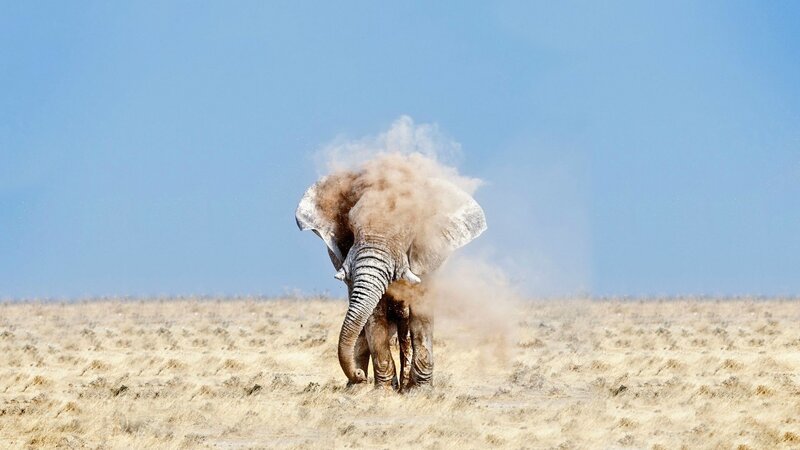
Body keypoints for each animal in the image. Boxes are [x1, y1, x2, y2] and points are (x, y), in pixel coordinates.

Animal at [295, 153, 486, 389]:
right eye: (351, 226)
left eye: (408, 232)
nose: (358, 374)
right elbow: (373, 315)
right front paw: (384, 390)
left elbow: (421, 312)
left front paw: (420, 390)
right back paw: (356, 388)